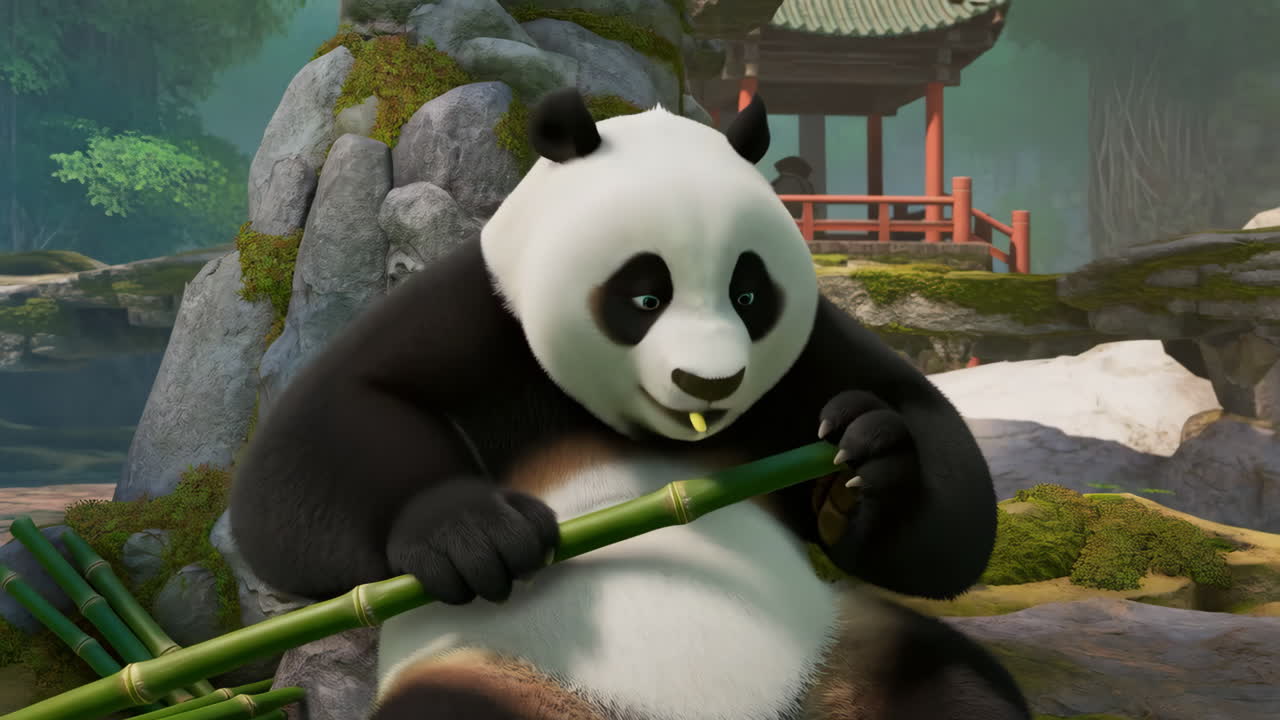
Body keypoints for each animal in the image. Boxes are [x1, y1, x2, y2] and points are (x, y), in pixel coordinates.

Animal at [229, 88, 1031, 720]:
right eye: (645, 297)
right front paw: (472, 534)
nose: (709, 385)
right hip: (502, 677)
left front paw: (862, 459)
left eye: (749, 295)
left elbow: (936, 494)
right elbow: (307, 452)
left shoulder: (811, 351)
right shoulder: (485, 308)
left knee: (950, 683)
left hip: (850, 654)